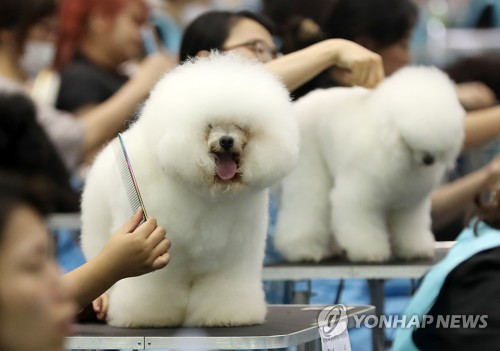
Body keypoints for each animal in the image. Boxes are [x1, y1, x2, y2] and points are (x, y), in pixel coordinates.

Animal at [80, 53, 298, 328]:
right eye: (210, 125)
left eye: (241, 126)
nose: (226, 141)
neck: (208, 194)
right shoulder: (160, 255)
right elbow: (152, 285)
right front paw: (146, 316)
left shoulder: (233, 258)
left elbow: (226, 287)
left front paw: (227, 315)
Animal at [274, 66, 464, 264]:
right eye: (409, 135)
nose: (429, 160)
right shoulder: (359, 196)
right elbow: (362, 225)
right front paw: (370, 253)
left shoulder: (408, 204)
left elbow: (409, 227)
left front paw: (414, 250)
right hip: (309, 169)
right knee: (307, 207)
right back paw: (305, 251)